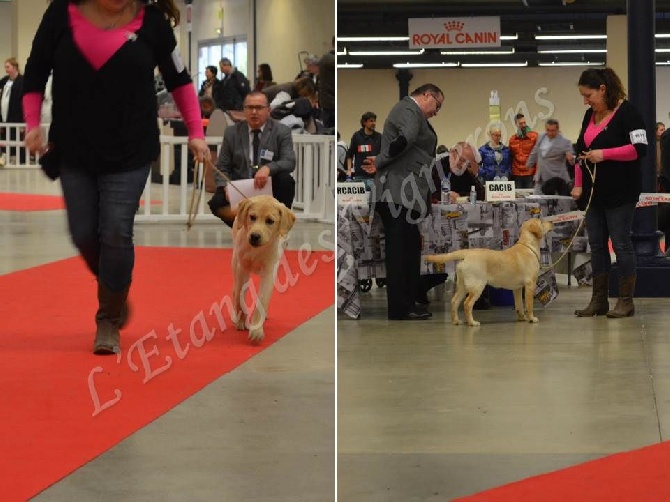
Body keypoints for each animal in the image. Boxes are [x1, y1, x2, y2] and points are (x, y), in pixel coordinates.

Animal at [232, 194, 296, 344]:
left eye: (270, 221)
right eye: (252, 217)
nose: (254, 236)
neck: (257, 251)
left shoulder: (269, 272)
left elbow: (261, 301)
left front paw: (256, 331)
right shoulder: (242, 267)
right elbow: (239, 296)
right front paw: (241, 319)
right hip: (235, 262)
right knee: (236, 291)